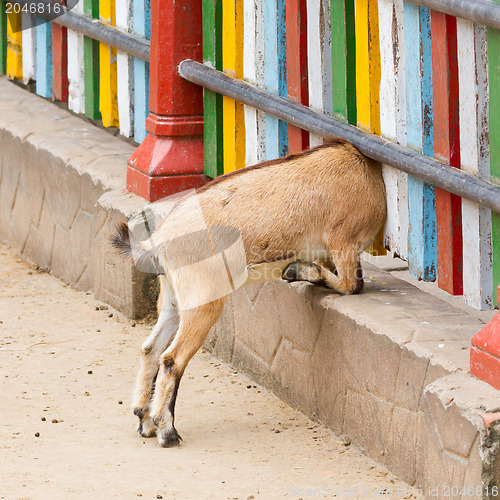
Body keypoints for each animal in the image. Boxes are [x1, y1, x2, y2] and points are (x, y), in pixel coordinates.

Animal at [110, 139, 386, 448]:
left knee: (151, 348)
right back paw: (167, 432)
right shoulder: (344, 242)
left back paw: (145, 421)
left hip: (172, 298)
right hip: (203, 301)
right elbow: (352, 285)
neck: (363, 168)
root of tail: (157, 242)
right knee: (172, 358)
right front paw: (295, 270)